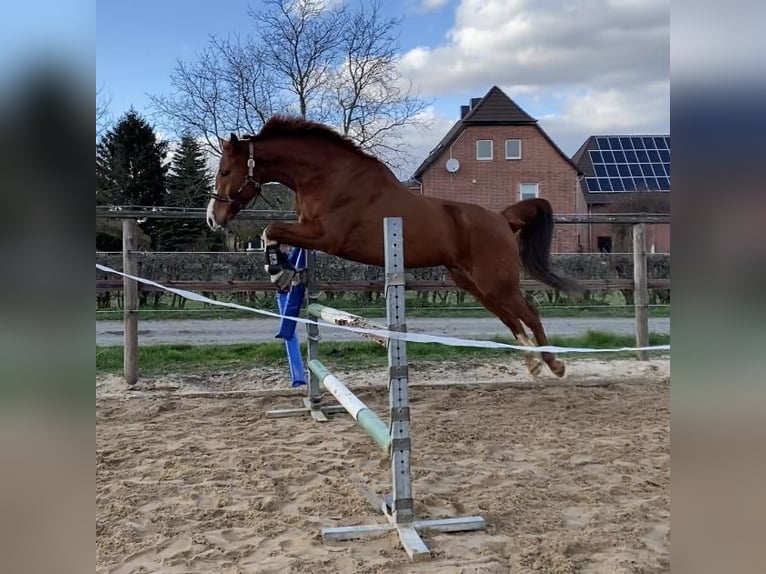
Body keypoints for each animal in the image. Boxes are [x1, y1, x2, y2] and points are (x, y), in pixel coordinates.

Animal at [208, 116, 584, 378]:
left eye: (225, 171)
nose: (213, 218)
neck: (326, 177)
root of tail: (502, 218)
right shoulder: (310, 231)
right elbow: (273, 232)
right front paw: (283, 270)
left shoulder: (326, 236)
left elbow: (271, 229)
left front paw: (278, 271)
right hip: (473, 284)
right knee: (510, 317)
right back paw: (533, 363)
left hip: (495, 282)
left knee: (529, 312)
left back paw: (554, 365)